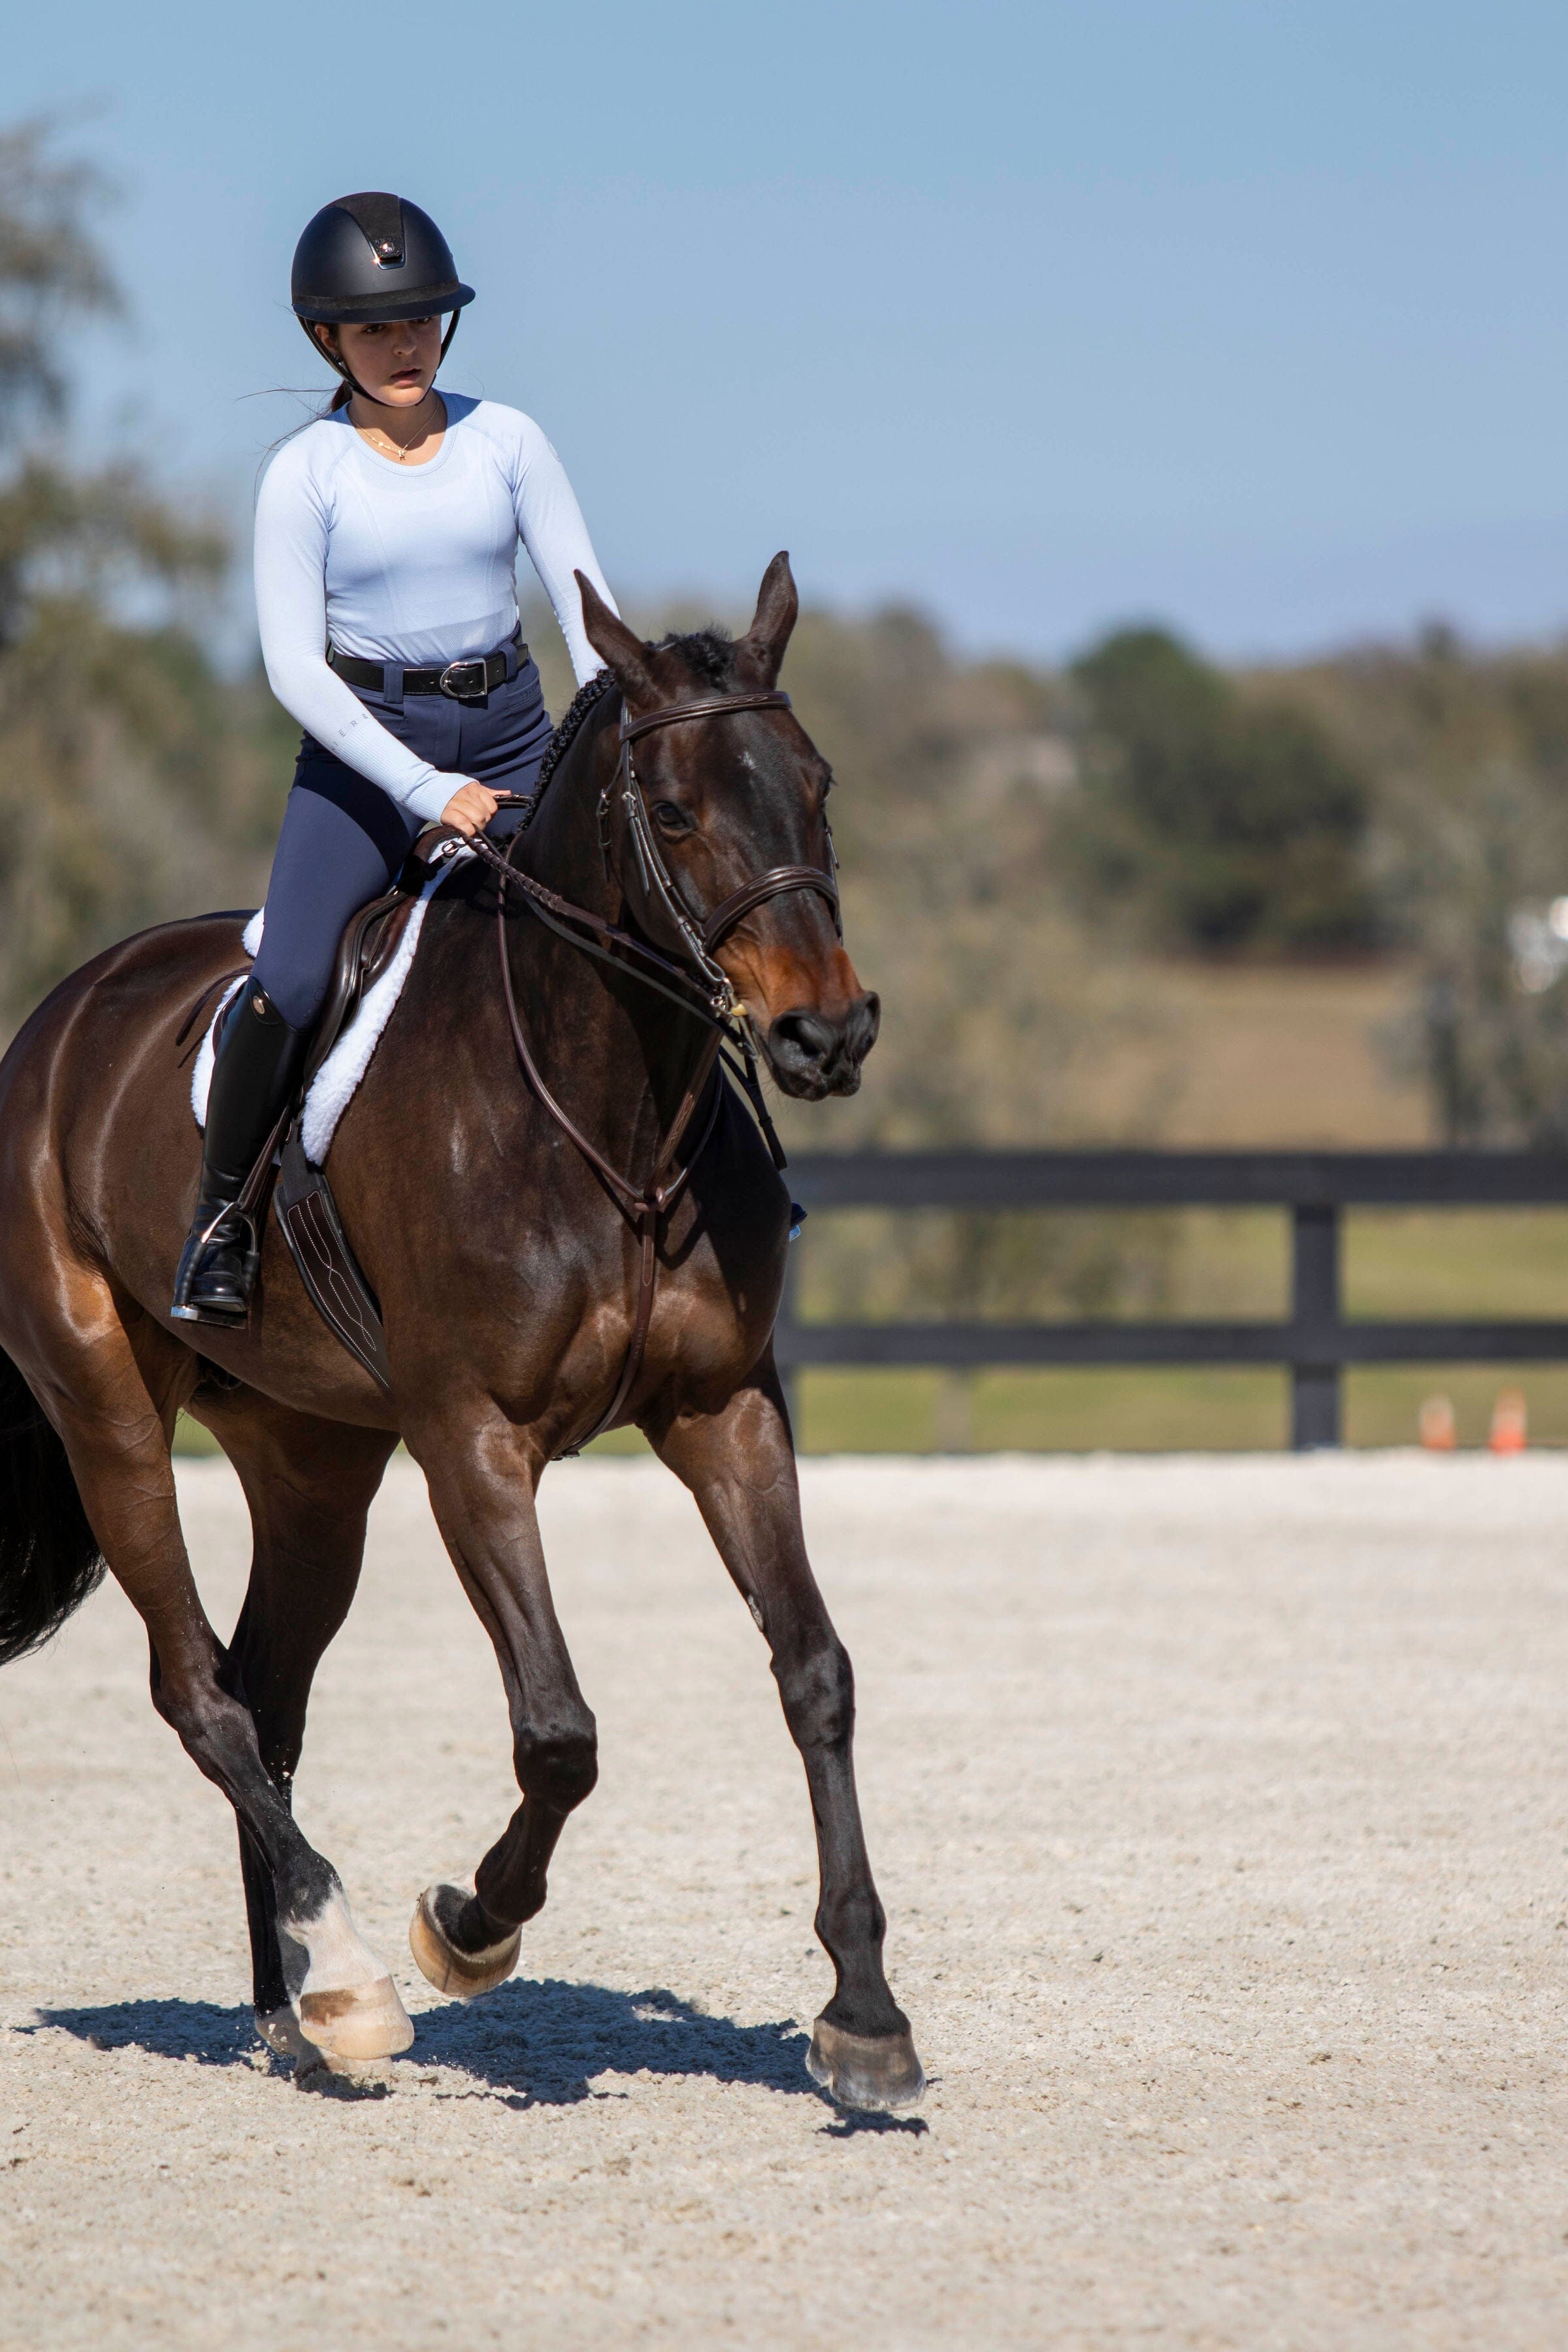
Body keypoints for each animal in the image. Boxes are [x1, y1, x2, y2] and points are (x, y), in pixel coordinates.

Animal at [0, 555, 926, 2117]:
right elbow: (559, 1732)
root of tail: (59, 1018)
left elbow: (818, 1674)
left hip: (313, 1462)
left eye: (818, 784)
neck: (609, 1109)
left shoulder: (726, 1412)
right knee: (201, 1694)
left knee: (267, 1700)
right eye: (677, 810)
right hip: (109, 1411)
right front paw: (468, 1928)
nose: (826, 1036)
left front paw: (864, 2015)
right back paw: (353, 1977)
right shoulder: (472, 1443)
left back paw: (294, 2014)